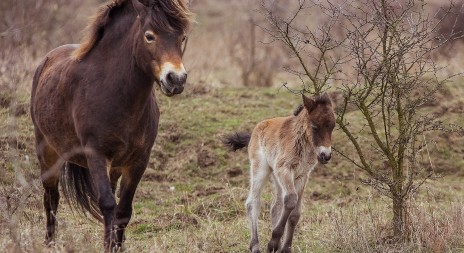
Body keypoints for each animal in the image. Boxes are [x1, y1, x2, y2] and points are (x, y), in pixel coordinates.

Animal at [29, 0, 192, 249]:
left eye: (182, 37)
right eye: (149, 36)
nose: (176, 79)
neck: (114, 92)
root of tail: (46, 60)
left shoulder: (138, 160)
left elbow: (123, 210)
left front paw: (118, 246)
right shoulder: (96, 155)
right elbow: (107, 204)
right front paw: (108, 246)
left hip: (114, 167)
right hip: (47, 151)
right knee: (51, 197)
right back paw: (50, 243)